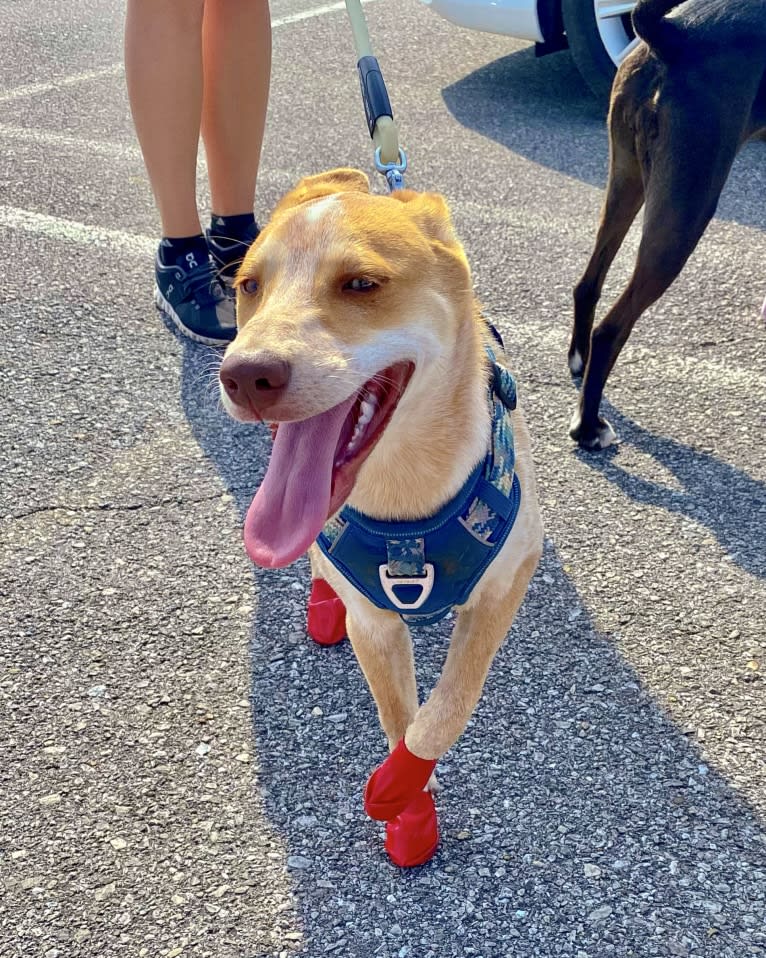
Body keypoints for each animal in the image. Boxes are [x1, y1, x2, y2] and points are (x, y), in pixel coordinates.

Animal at [219, 172, 544, 872]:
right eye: (249, 286)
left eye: (361, 284)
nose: (246, 376)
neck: (406, 499)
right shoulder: (374, 622)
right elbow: (399, 718)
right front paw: (411, 806)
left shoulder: (508, 580)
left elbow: (449, 705)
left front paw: (398, 784)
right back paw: (323, 603)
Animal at [568, 0, 766, 450]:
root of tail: (675, 34)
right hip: (686, 208)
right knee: (611, 329)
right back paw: (588, 427)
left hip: (627, 178)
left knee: (588, 284)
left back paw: (580, 364)